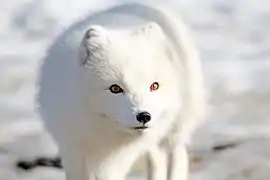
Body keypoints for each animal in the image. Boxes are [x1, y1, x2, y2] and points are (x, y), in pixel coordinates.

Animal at [37, 2, 206, 180]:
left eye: (154, 86)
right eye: (115, 88)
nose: (144, 116)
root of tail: (137, 4)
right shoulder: (73, 149)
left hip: (175, 127)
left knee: (177, 153)